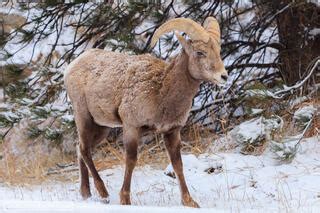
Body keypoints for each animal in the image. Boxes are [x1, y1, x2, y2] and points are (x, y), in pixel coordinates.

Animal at [63, 17, 228, 208]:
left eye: (218, 51)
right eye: (200, 52)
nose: (224, 76)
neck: (162, 91)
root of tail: (71, 67)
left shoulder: (172, 132)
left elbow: (177, 164)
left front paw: (189, 202)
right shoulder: (132, 127)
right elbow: (131, 160)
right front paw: (125, 200)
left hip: (102, 127)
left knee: (81, 148)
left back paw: (86, 194)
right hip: (84, 117)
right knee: (84, 149)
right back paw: (103, 193)